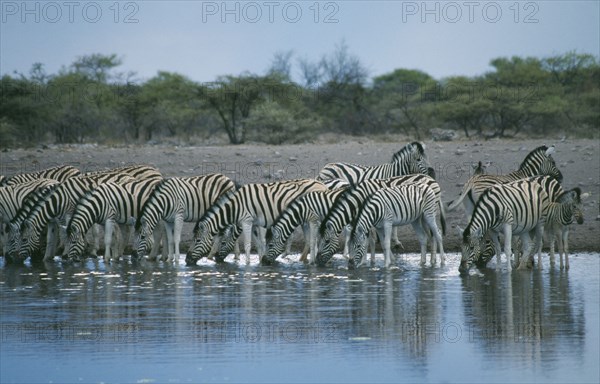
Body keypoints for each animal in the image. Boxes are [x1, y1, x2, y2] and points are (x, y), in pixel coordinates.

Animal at [188, 178, 328, 266]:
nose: (187, 260)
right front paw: (261, 261)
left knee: (315, 239)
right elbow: (259, 243)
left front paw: (248, 264)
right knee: (310, 240)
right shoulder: (255, 223)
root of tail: (321, 184)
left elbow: (248, 245)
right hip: (305, 220)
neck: (235, 207)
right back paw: (304, 260)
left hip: (314, 218)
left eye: (197, 241)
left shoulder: (247, 221)